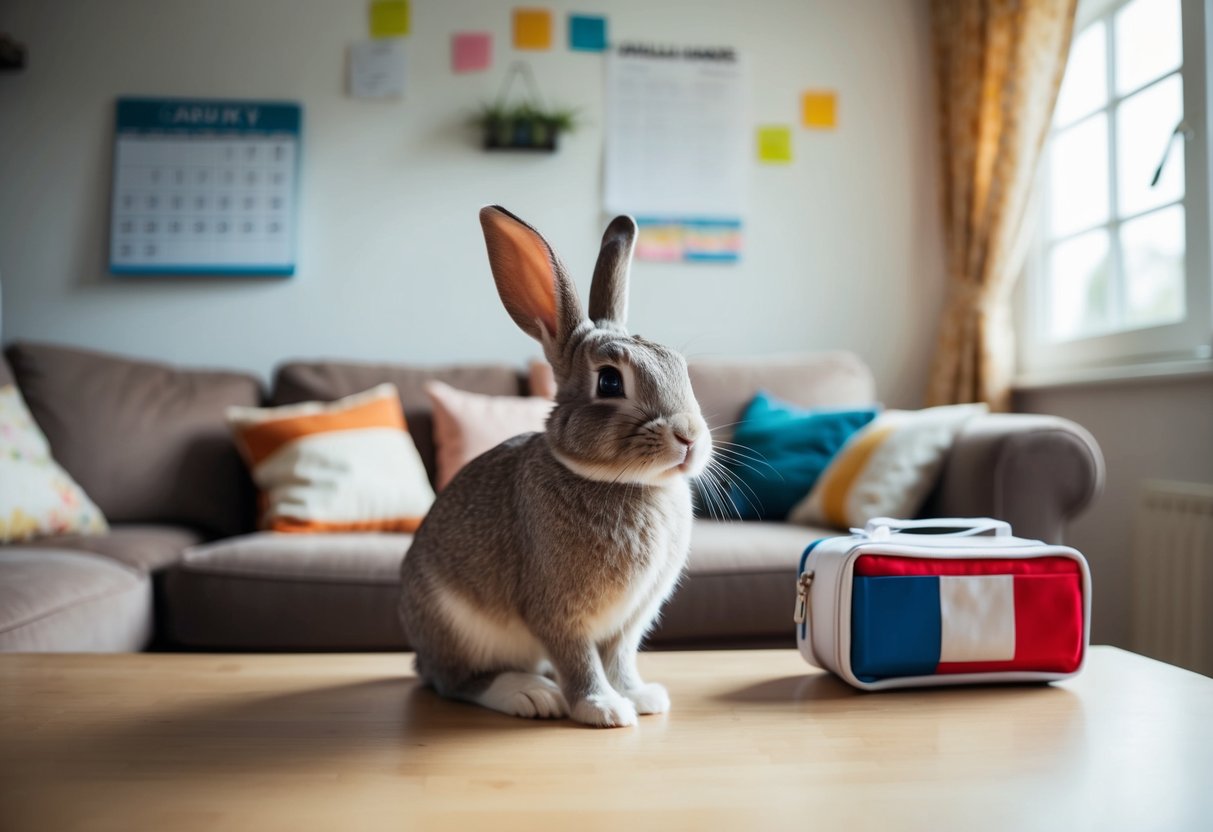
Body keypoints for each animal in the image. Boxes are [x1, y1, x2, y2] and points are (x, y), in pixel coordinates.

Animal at [398, 206, 712, 728]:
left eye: (681, 370)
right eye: (609, 382)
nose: (689, 436)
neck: (626, 483)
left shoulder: (629, 622)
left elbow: (620, 658)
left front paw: (642, 698)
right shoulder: (557, 614)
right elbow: (579, 660)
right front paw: (604, 709)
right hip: (456, 628)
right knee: (456, 680)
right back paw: (530, 694)